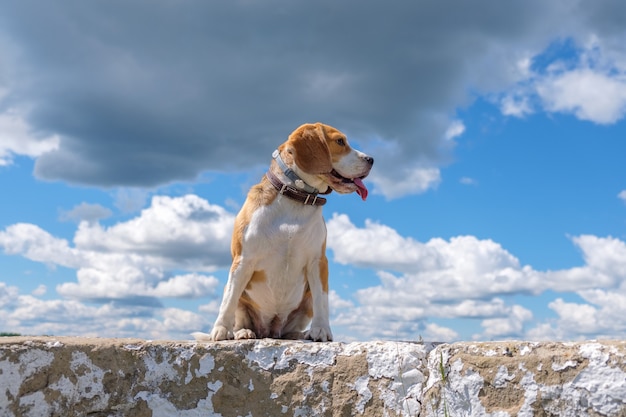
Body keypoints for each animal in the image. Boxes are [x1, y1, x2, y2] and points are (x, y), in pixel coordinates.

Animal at [193, 121, 372, 342]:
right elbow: (228, 301)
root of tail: (270, 330)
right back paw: (242, 332)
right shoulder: (243, 260)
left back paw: (300, 334)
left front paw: (321, 330)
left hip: (305, 301)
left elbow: (322, 301)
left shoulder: (318, 261)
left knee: (293, 326)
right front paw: (221, 329)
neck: (294, 197)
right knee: (238, 308)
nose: (371, 160)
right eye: (340, 141)